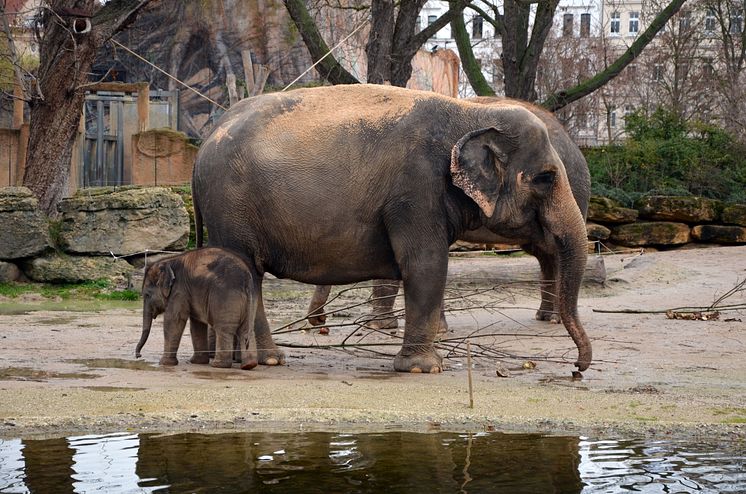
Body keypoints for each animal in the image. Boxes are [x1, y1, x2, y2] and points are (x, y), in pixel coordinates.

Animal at [306, 96, 588, 328]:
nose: (319, 322)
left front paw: (382, 327)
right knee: (545, 253)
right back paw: (545, 316)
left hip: (572, 191)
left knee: (555, 249)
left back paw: (555, 320)